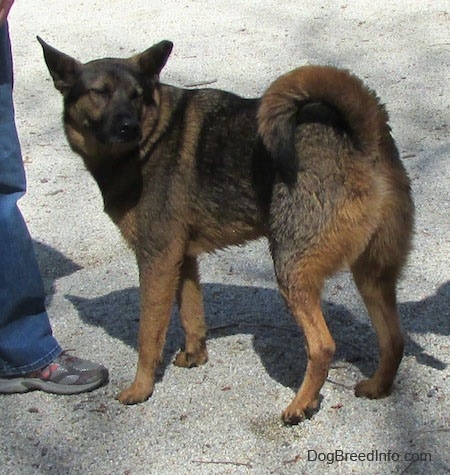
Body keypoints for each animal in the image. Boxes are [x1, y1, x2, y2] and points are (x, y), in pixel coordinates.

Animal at [38, 37, 414, 424]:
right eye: (99, 92)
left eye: (136, 95)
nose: (129, 127)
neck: (154, 136)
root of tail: (363, 135)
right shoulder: (182, 260)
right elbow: (191, 315)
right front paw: (194, 356)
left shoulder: (156, 260)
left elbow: (148, 336)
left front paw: (141, 388)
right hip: (372, 277)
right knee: (393, 340)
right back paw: (377, 386)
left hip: (291, 270)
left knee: (323, 346)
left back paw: (300, 404)